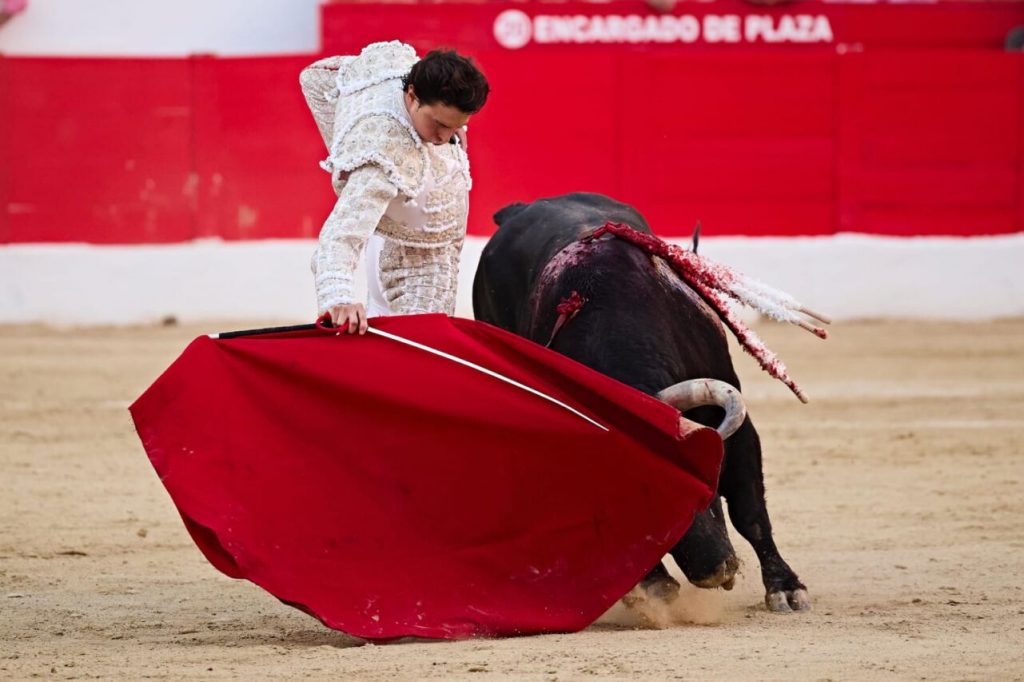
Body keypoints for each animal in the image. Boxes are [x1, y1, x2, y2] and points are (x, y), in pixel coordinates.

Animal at [475, 191, 811, 610]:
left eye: (701, 484)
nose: (715, 571)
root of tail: (519, 210)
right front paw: (654, 584)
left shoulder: (739, 426)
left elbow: (748, 509)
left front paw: (785, 587)